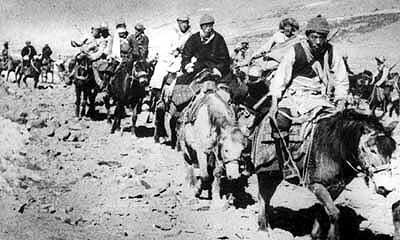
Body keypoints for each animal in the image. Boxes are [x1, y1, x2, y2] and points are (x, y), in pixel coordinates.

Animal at [255, 109, 398, 239]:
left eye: (391, 151)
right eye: (371, 150)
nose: (385, 188)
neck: (334, 150)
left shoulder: (335, 187)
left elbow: (324, 210)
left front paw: (315, 234)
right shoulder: (316, 184)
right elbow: (334, 213)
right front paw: (332, 236)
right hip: (266, 173)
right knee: (263, 197)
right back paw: (263, 228)